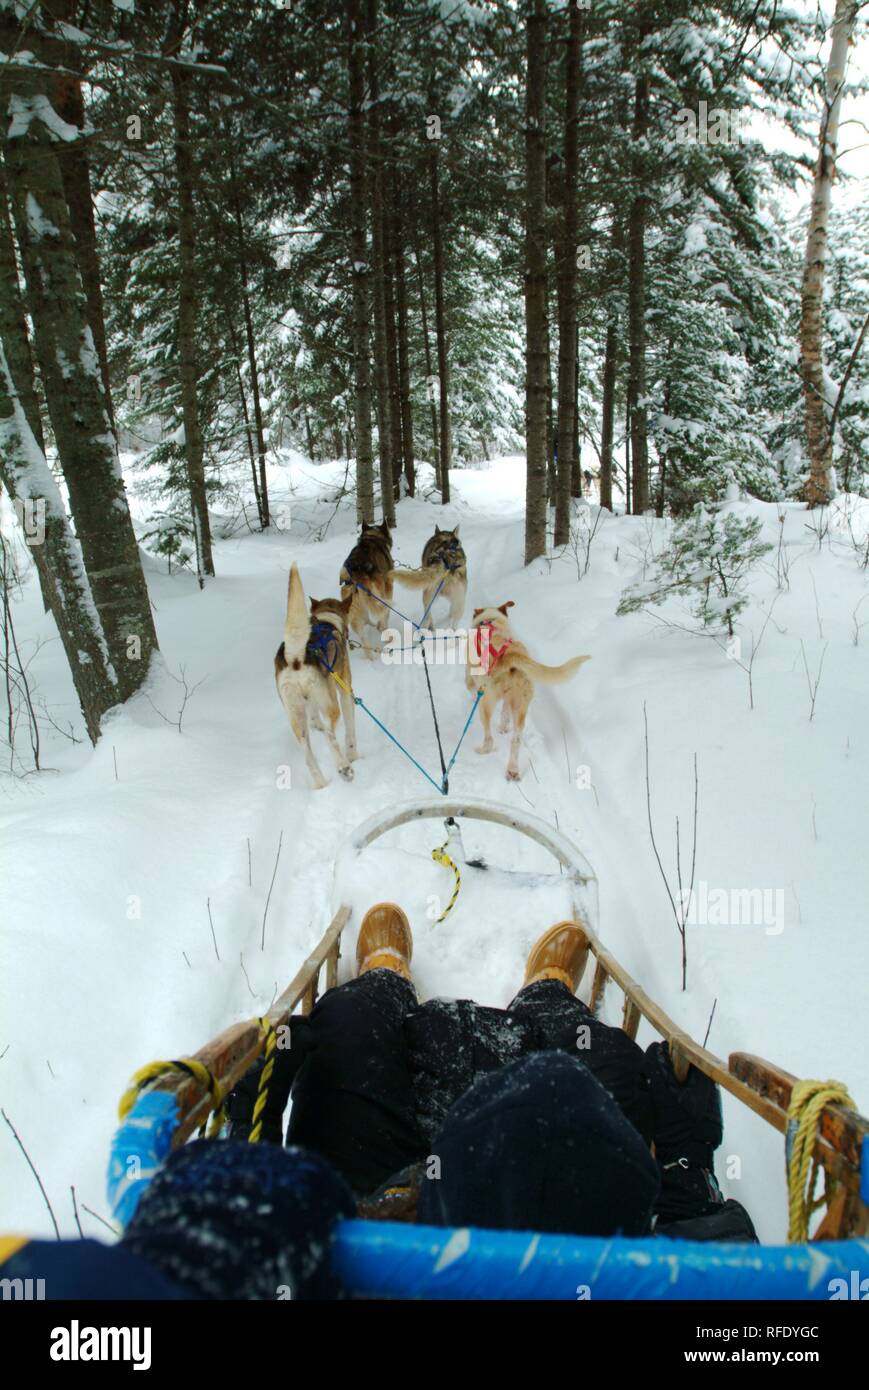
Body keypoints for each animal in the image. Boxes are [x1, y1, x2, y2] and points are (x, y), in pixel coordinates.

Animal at [278, 558, 358, 789]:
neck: (327, 619)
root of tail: (295, 657)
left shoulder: (310, 705)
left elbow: (315, 720)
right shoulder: (345, 689)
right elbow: (350, 729)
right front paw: (353, 755)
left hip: (296, 717)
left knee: (308, 754)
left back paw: (321, 783)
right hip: (330, 703)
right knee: (331, 735)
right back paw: (344, 767)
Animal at [467, 603, 589, 783]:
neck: (491, 621)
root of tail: (511, 656)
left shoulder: (471, 678)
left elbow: (471, 689)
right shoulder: (508, 700)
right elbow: (505, 712)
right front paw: (503, 726)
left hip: (486, 704)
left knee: (489, 736)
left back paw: (484, 750)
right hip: (520, 706)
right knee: (515, 740)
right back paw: (512, 770)